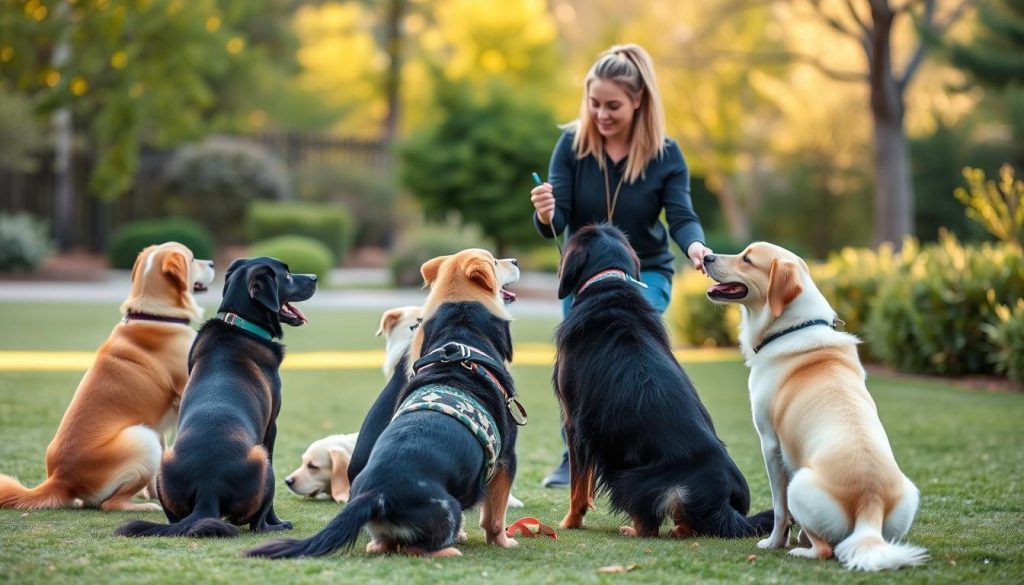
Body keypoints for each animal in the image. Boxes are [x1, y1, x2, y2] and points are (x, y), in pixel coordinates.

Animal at [0, 240, 214, 510]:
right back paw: (144, 506)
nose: (213, 263)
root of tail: (59, 479)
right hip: (141, 438)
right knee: (111, 504)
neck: (155, 316)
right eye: (193, 258)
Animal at [117, 258, 315, 536]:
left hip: (164, 462)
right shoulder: (271, 427)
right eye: (286, 275)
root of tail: (208, 490)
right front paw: (277, 521)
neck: (239, 324)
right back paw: (275, 526)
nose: (315, 277)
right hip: (263, 460)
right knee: (257, 524)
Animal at [245, 299, 520, 561]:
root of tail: (376, 495)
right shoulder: (506, 461)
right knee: (414, 549)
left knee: (380, 546)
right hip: (450, 509)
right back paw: (449, 551)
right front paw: (504, 542)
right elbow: (495, 519)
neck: (458, 357)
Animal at [552, 224, 770, 540]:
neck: (607, 283)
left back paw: (630, 530)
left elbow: (578, 486)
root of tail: (719, 500)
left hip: (629, 478)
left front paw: (570, 522)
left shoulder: (575, 423)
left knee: (651, 527)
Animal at [704, 241, 929, 573]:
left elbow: (780, 509)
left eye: (747, 259)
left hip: (798, 484)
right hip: (908, 498)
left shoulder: (770, 444)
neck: (792, 327)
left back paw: (800, 551)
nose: (705, 256)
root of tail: (870, 505)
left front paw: (774, 542)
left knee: (825, 549)